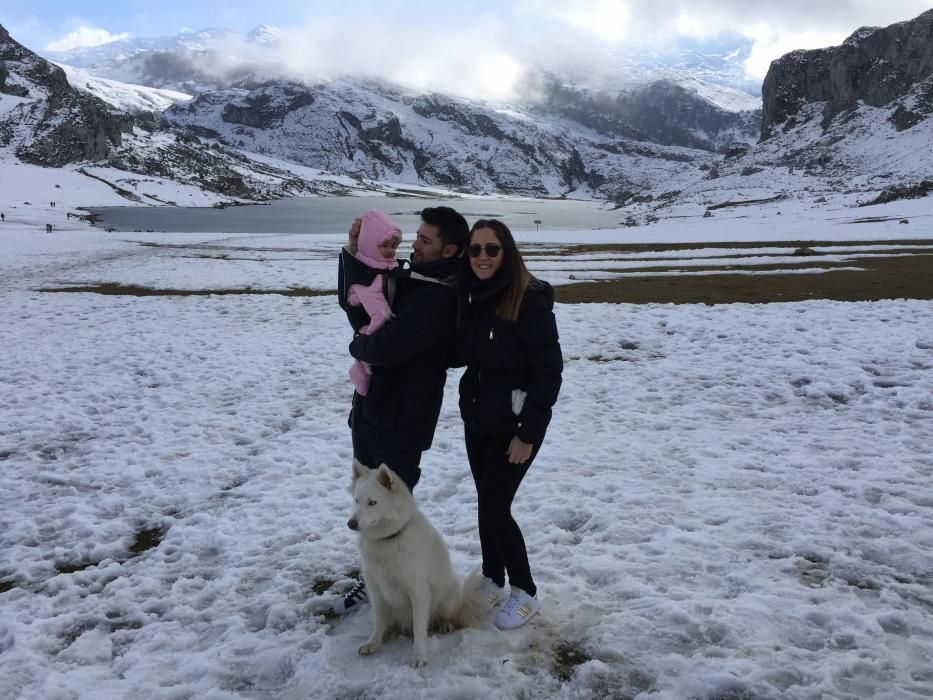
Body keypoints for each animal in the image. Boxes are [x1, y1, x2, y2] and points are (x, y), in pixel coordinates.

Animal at [346, 460, 484, 668]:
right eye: (356, 500)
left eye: (372, 502)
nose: (351, 523)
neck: (387, 540)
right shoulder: (376, 590)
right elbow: (379, 621)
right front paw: (374, 642)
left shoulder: (418, 591)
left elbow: (419, 627)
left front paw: (419, 655)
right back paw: (389, 632)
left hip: (447, 599)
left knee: (449, 617)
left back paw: (445, 624)